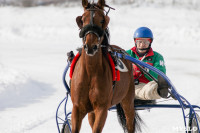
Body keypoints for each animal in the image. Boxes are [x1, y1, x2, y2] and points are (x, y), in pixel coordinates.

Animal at [70, 0, 142, 132]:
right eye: (82, 19)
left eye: (102, 20)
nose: (90, 46)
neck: (90, 71)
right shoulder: (77, 108)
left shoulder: (102, 108)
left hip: (128, 100)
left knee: (130, 122)